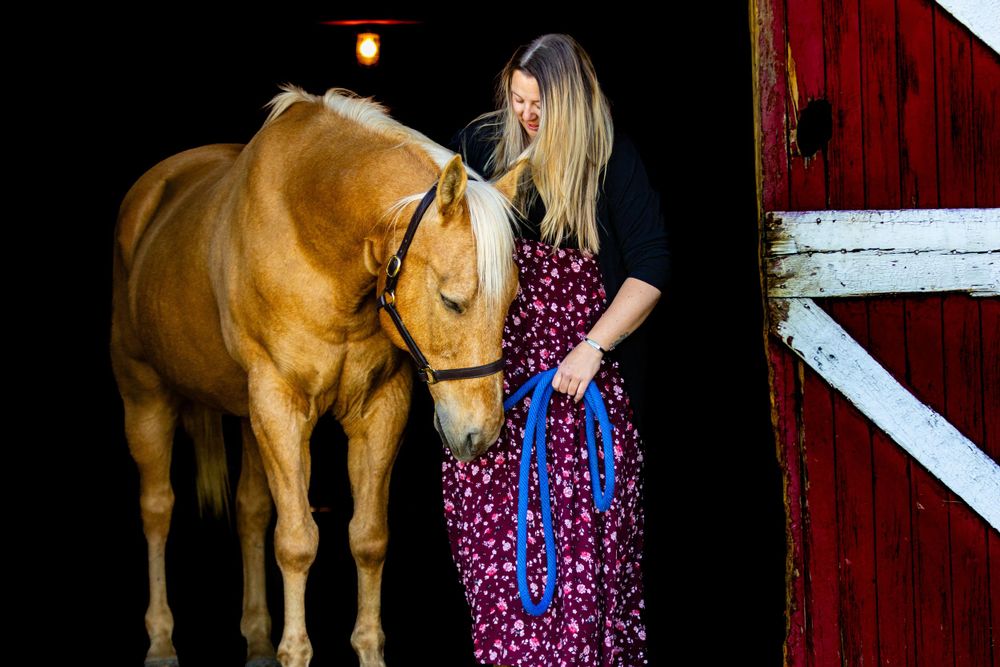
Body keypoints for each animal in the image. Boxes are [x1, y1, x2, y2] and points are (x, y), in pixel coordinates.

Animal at [111, 85, 523, 667]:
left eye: (511, 301)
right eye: (451, 300)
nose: (479, 435)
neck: (317, 236)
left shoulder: (379, 407)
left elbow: (368, 538)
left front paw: (366, 650)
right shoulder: (281, 406)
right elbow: (298, 541)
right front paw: (294, 651)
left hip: (246, 417)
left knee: (251, 511)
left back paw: (258, 639)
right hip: (145, 394)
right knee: (157, 509)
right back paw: (162, 640)